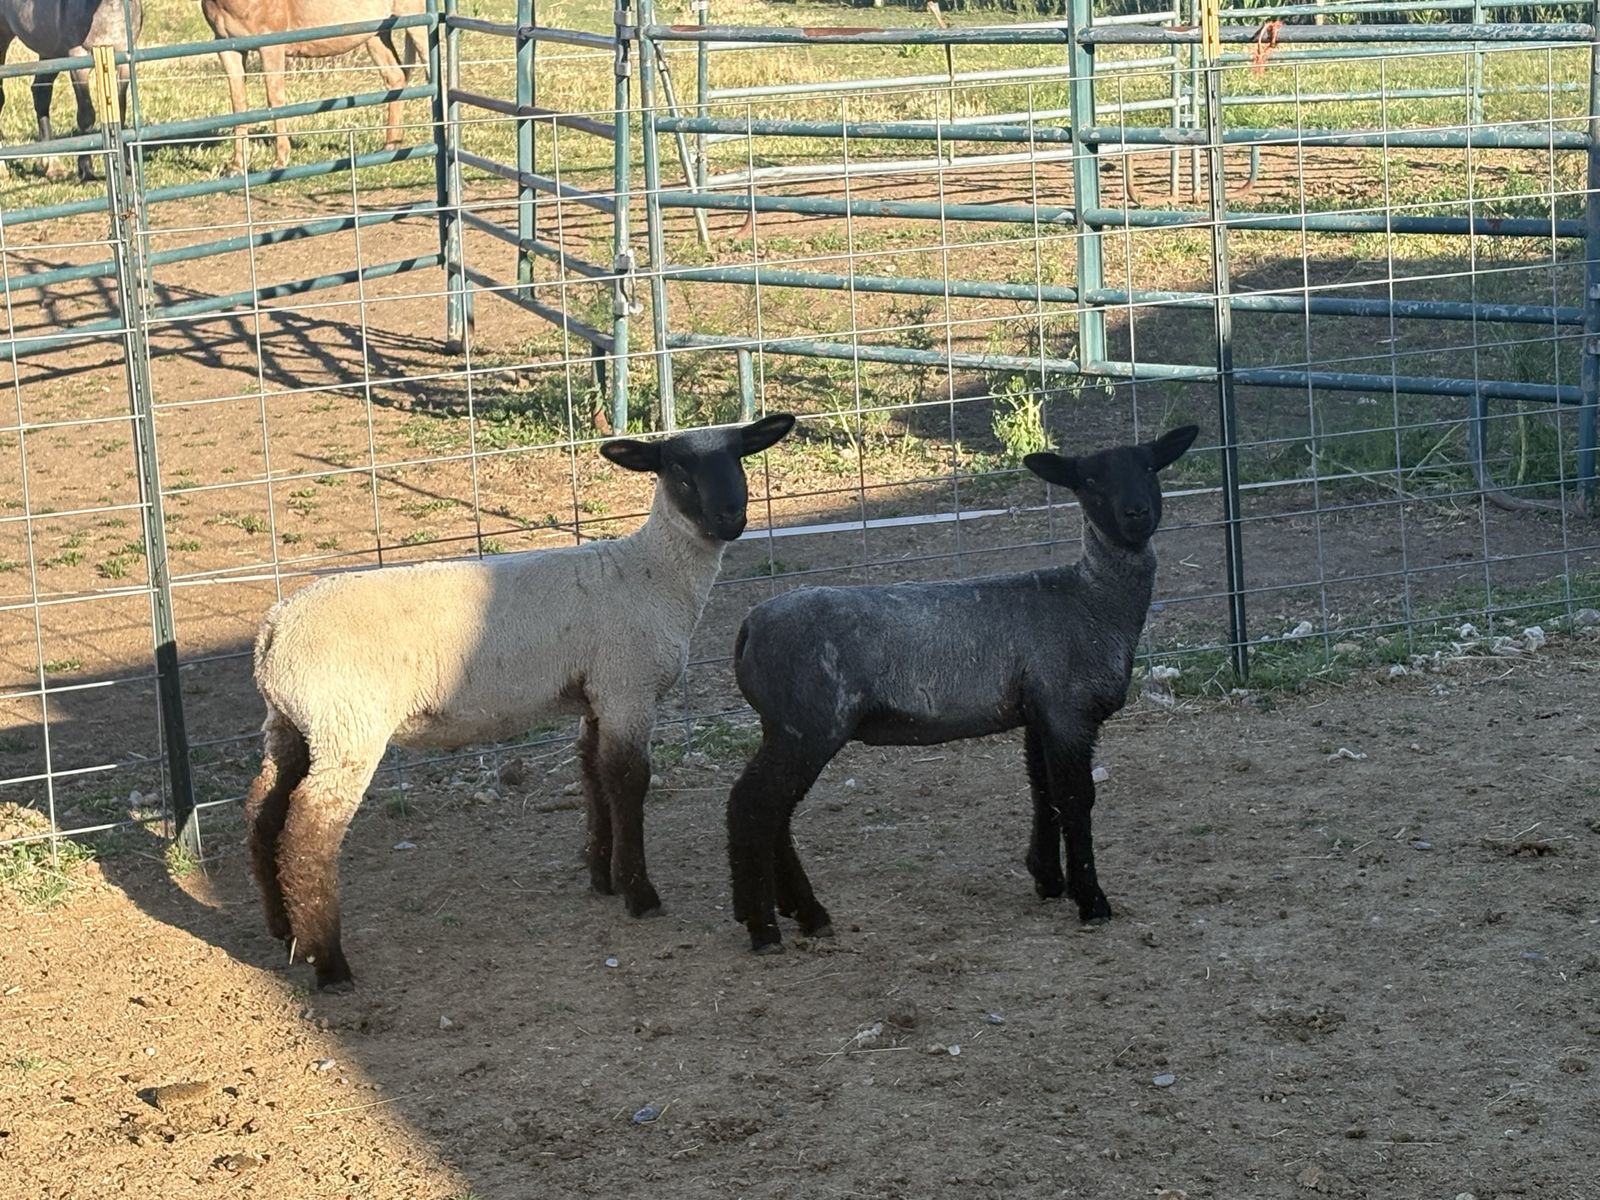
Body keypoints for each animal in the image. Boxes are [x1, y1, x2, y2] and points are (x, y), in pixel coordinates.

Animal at [243, 413, 797, 989]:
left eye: (739, 459)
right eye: (680, 472)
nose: (731, 518)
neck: (648, 574)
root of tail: (274, 631)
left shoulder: (595, 697)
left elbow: (593, 777)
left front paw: (603, 877)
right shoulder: (627, 686)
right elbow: (628, 782)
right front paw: (640, 893)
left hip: (291, 725)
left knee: (264, 813)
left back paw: (284, 930)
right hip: (348, 724)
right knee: (308, 833)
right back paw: (330, 963)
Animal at [725, 424, 1200, 953]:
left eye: (1150, 468)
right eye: (1091, 481)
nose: (1137, 514)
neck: (1091, 602)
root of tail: (749, 626)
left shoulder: (1038, 712)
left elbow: (1042, 791)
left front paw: (1048, 879)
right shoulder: (1068, 709)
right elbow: (1076, 800)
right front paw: (1091, 901)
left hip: (786, 726)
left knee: (774, 811)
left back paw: (801, 913)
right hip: (808, 722)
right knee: (753, 805)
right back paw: (765, 927)